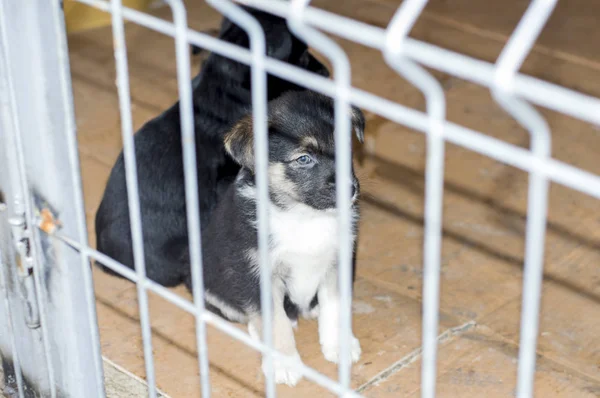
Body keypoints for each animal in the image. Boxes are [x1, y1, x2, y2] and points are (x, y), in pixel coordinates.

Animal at [185, 91, 366, 386]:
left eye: (346, 146)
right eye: (303, 159)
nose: (350, 190)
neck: (302, 215)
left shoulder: (338, 261)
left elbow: (336, 307)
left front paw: (339, 345)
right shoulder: (257, 274)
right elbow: (274, 320)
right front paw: (284, 362)